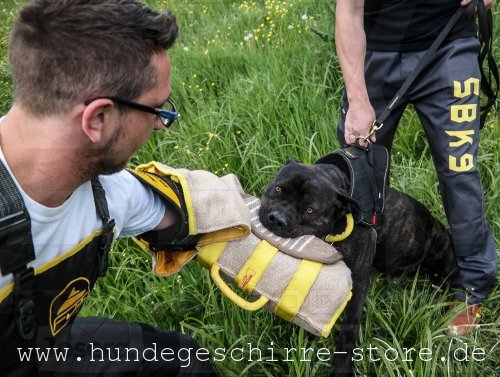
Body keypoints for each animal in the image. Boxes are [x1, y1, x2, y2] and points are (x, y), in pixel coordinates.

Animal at [258, 160, 458, 374]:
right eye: (278, 188)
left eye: (310, 210)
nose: (276, 218)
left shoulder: (358, 282)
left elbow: (349, 328)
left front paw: (341, 368)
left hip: (445, 253)